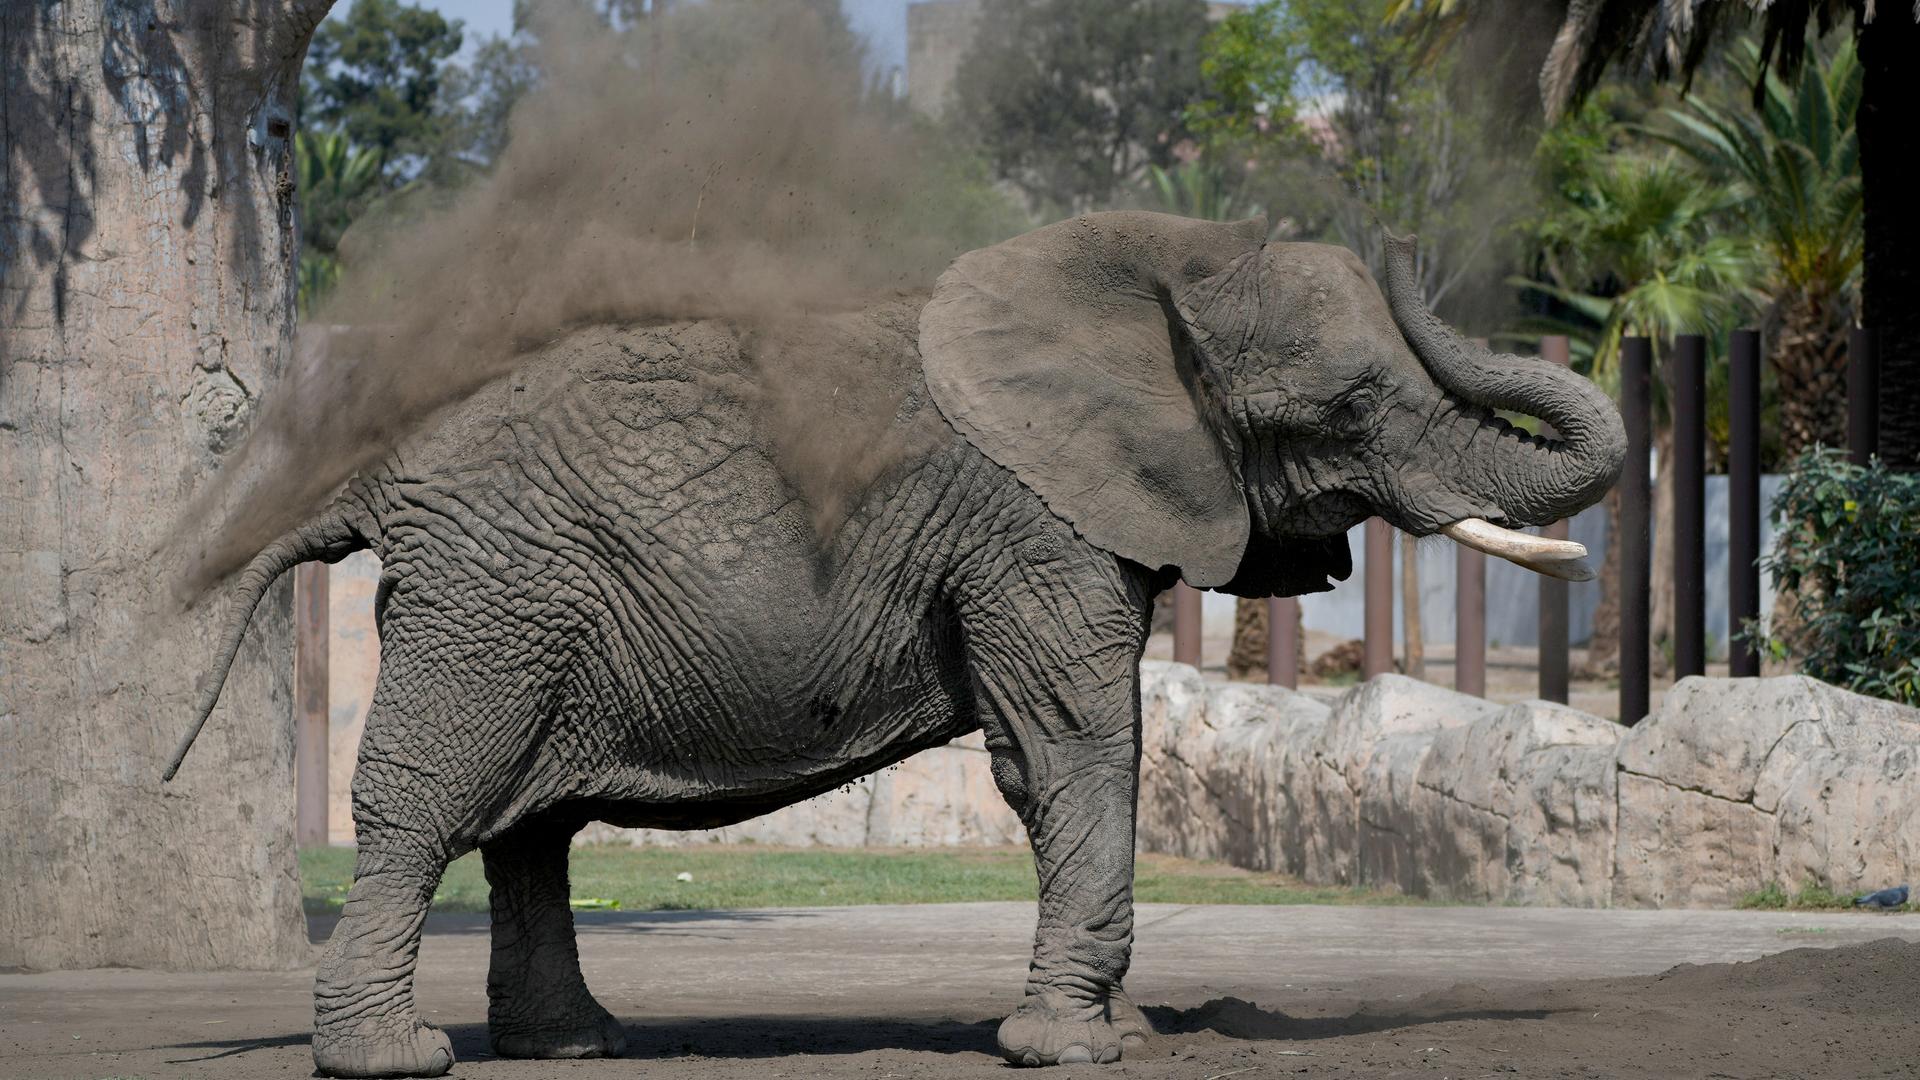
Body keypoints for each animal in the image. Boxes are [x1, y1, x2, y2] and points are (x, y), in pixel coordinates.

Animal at [172, 205, 1628, 1068]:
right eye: (1348, 405)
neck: (1156, 272)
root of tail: (375, 470)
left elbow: (1094, 747)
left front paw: (1128, 1031)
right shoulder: (1028, 521)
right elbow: (1074, 744)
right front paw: (1071, 1049)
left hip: (528, 603)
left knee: (533, 825)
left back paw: (577, 1045)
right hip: (495, 597)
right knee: (431, 795)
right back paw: (395, 1058)